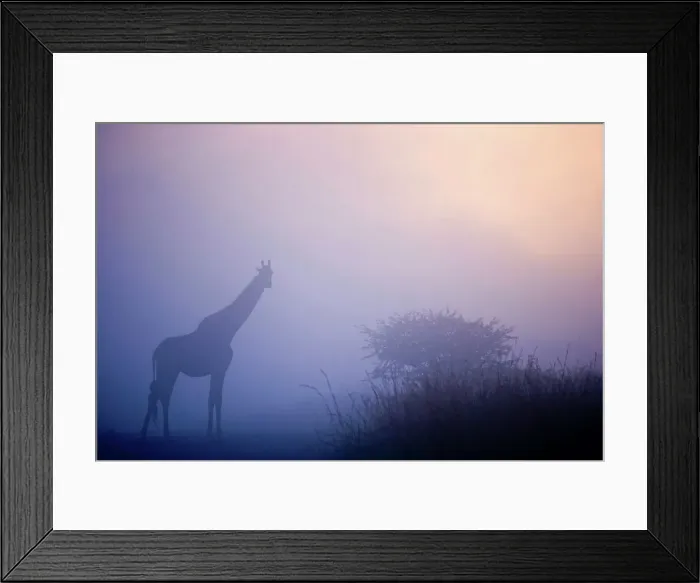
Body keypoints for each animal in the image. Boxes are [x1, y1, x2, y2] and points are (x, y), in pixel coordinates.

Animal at [140, 260, 273, 440]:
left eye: (271, 273)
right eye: (264, 274)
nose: (269, 284)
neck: (230, 330)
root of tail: (155, 352)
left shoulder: (219, 370)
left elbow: (216, 397)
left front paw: (214, 431)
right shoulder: (219, 368)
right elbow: (215, 398)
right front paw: (214, 432)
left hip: (169, 370)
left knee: (160, 393)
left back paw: (160, 432)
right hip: (167, 369)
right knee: (160, 394)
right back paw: (153, 432)